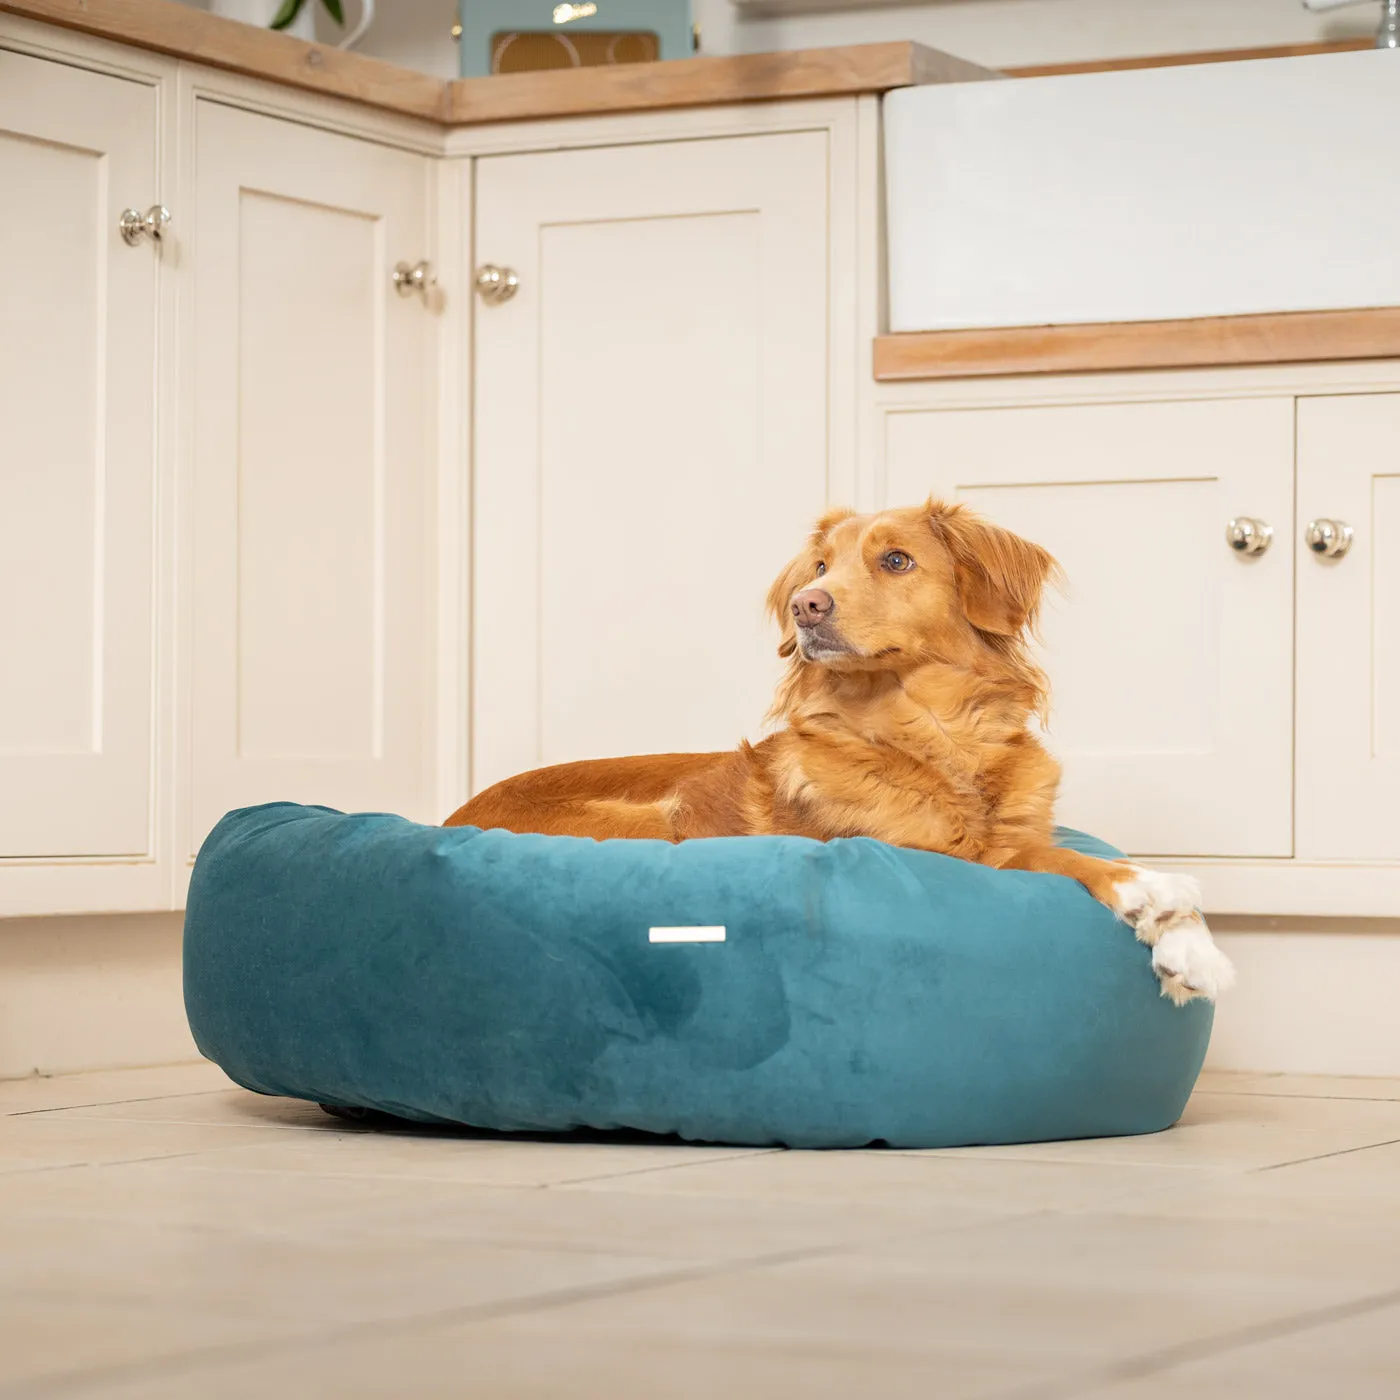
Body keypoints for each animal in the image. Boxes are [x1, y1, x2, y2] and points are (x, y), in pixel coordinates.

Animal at [448, 498, 1237, 1002]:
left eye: (897, 560)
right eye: (819, 569)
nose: (808, 606)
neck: (934, 738)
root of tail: (453, 818)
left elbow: (1040, 847)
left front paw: (1193, 952)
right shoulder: (928, 852)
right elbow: (1039, 858)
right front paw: (1148, 888)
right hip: (656, 820)